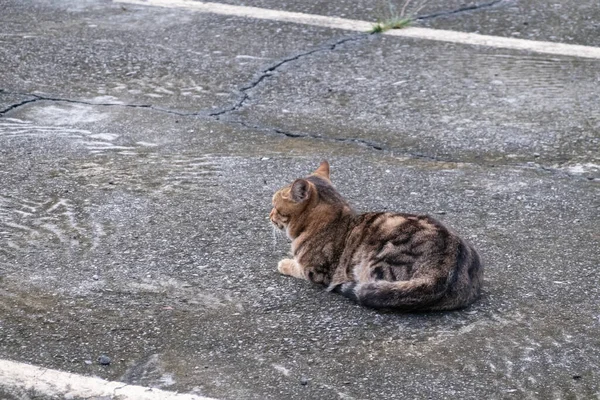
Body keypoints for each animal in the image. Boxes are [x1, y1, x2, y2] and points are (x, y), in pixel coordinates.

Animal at [270, 161, 482, 310]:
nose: (269, 214)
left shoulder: (317, 271)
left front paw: (285, 263)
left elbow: (297, 267)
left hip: (379, 261)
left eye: (274, 205)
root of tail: (445, 268)